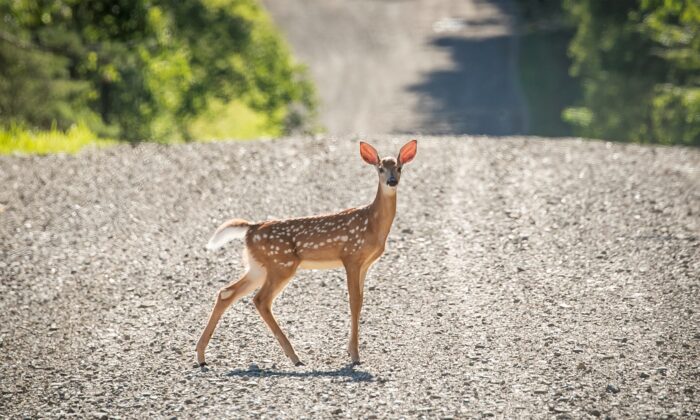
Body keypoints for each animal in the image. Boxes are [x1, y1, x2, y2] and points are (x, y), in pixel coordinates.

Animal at [196, 139, 418, 367]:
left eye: (399, 168)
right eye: (380, 168)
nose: (392, 181)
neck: (372, 223)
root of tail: (251, 228)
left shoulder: (365, 263)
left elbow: (361, 300)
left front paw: (351, 351)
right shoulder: (351, 256)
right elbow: (354, 301)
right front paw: (355, 355)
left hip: (258, 266)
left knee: (226, 292)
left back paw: (201, 356)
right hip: (281, 265)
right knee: (260, 300)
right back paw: (294, 357)